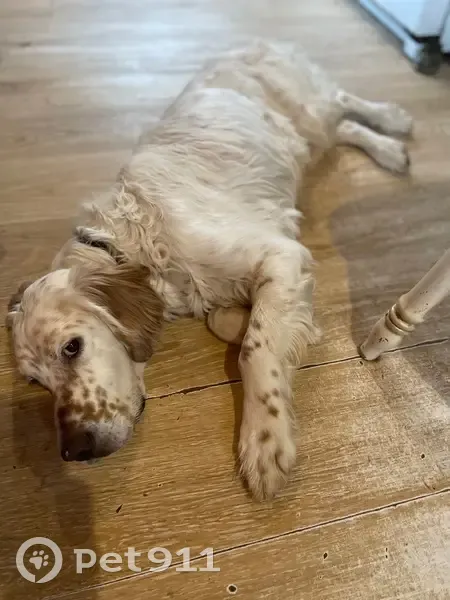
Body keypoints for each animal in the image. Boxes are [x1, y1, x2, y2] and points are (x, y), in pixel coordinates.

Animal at [7, 41, 412, 500]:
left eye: (72, 347)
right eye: (36, 383)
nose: (74, 451)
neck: (132, 240)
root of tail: (253, 43)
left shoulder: (281, 253)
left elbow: (255, 348)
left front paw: (264, 439)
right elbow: (232, 323)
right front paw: (277, 326)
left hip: (312, 110)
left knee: (345, 103)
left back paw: (393, 127)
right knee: (345, 127)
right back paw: (391, 149)